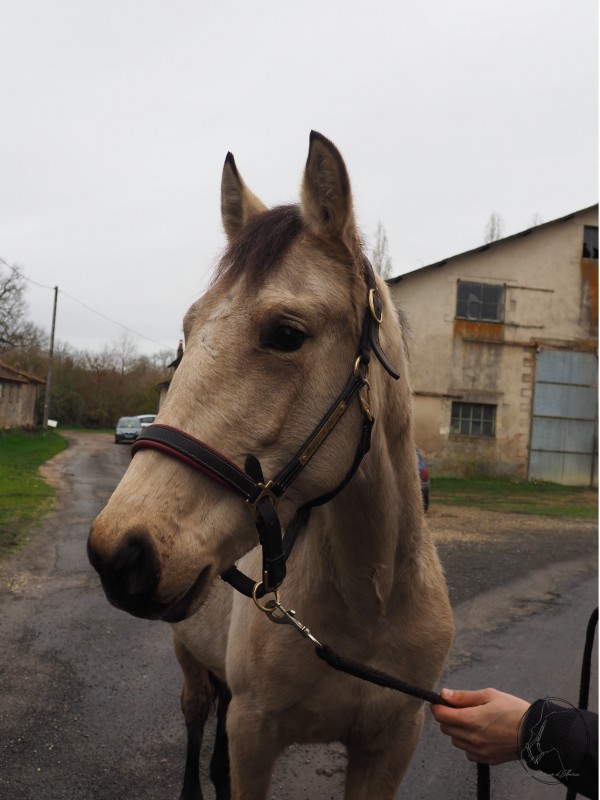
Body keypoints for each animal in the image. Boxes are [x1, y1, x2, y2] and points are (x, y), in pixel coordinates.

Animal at [87, 131, 454, 800]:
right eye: (186, 333)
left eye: (286, 333)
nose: (120, 551)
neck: (369, 600)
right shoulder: (256, 736)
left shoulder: (390, 745)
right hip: (192, 668)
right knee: (196, 724)